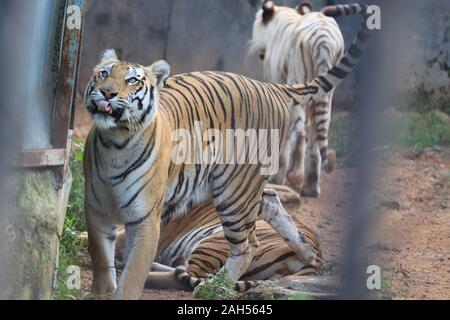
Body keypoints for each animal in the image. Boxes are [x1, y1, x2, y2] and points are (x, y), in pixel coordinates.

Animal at [251, 1, 368, 198]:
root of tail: (324, 38)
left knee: (298, 130)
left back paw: (292, 177)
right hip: (327, 92)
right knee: (317, 133)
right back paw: (311, 186)